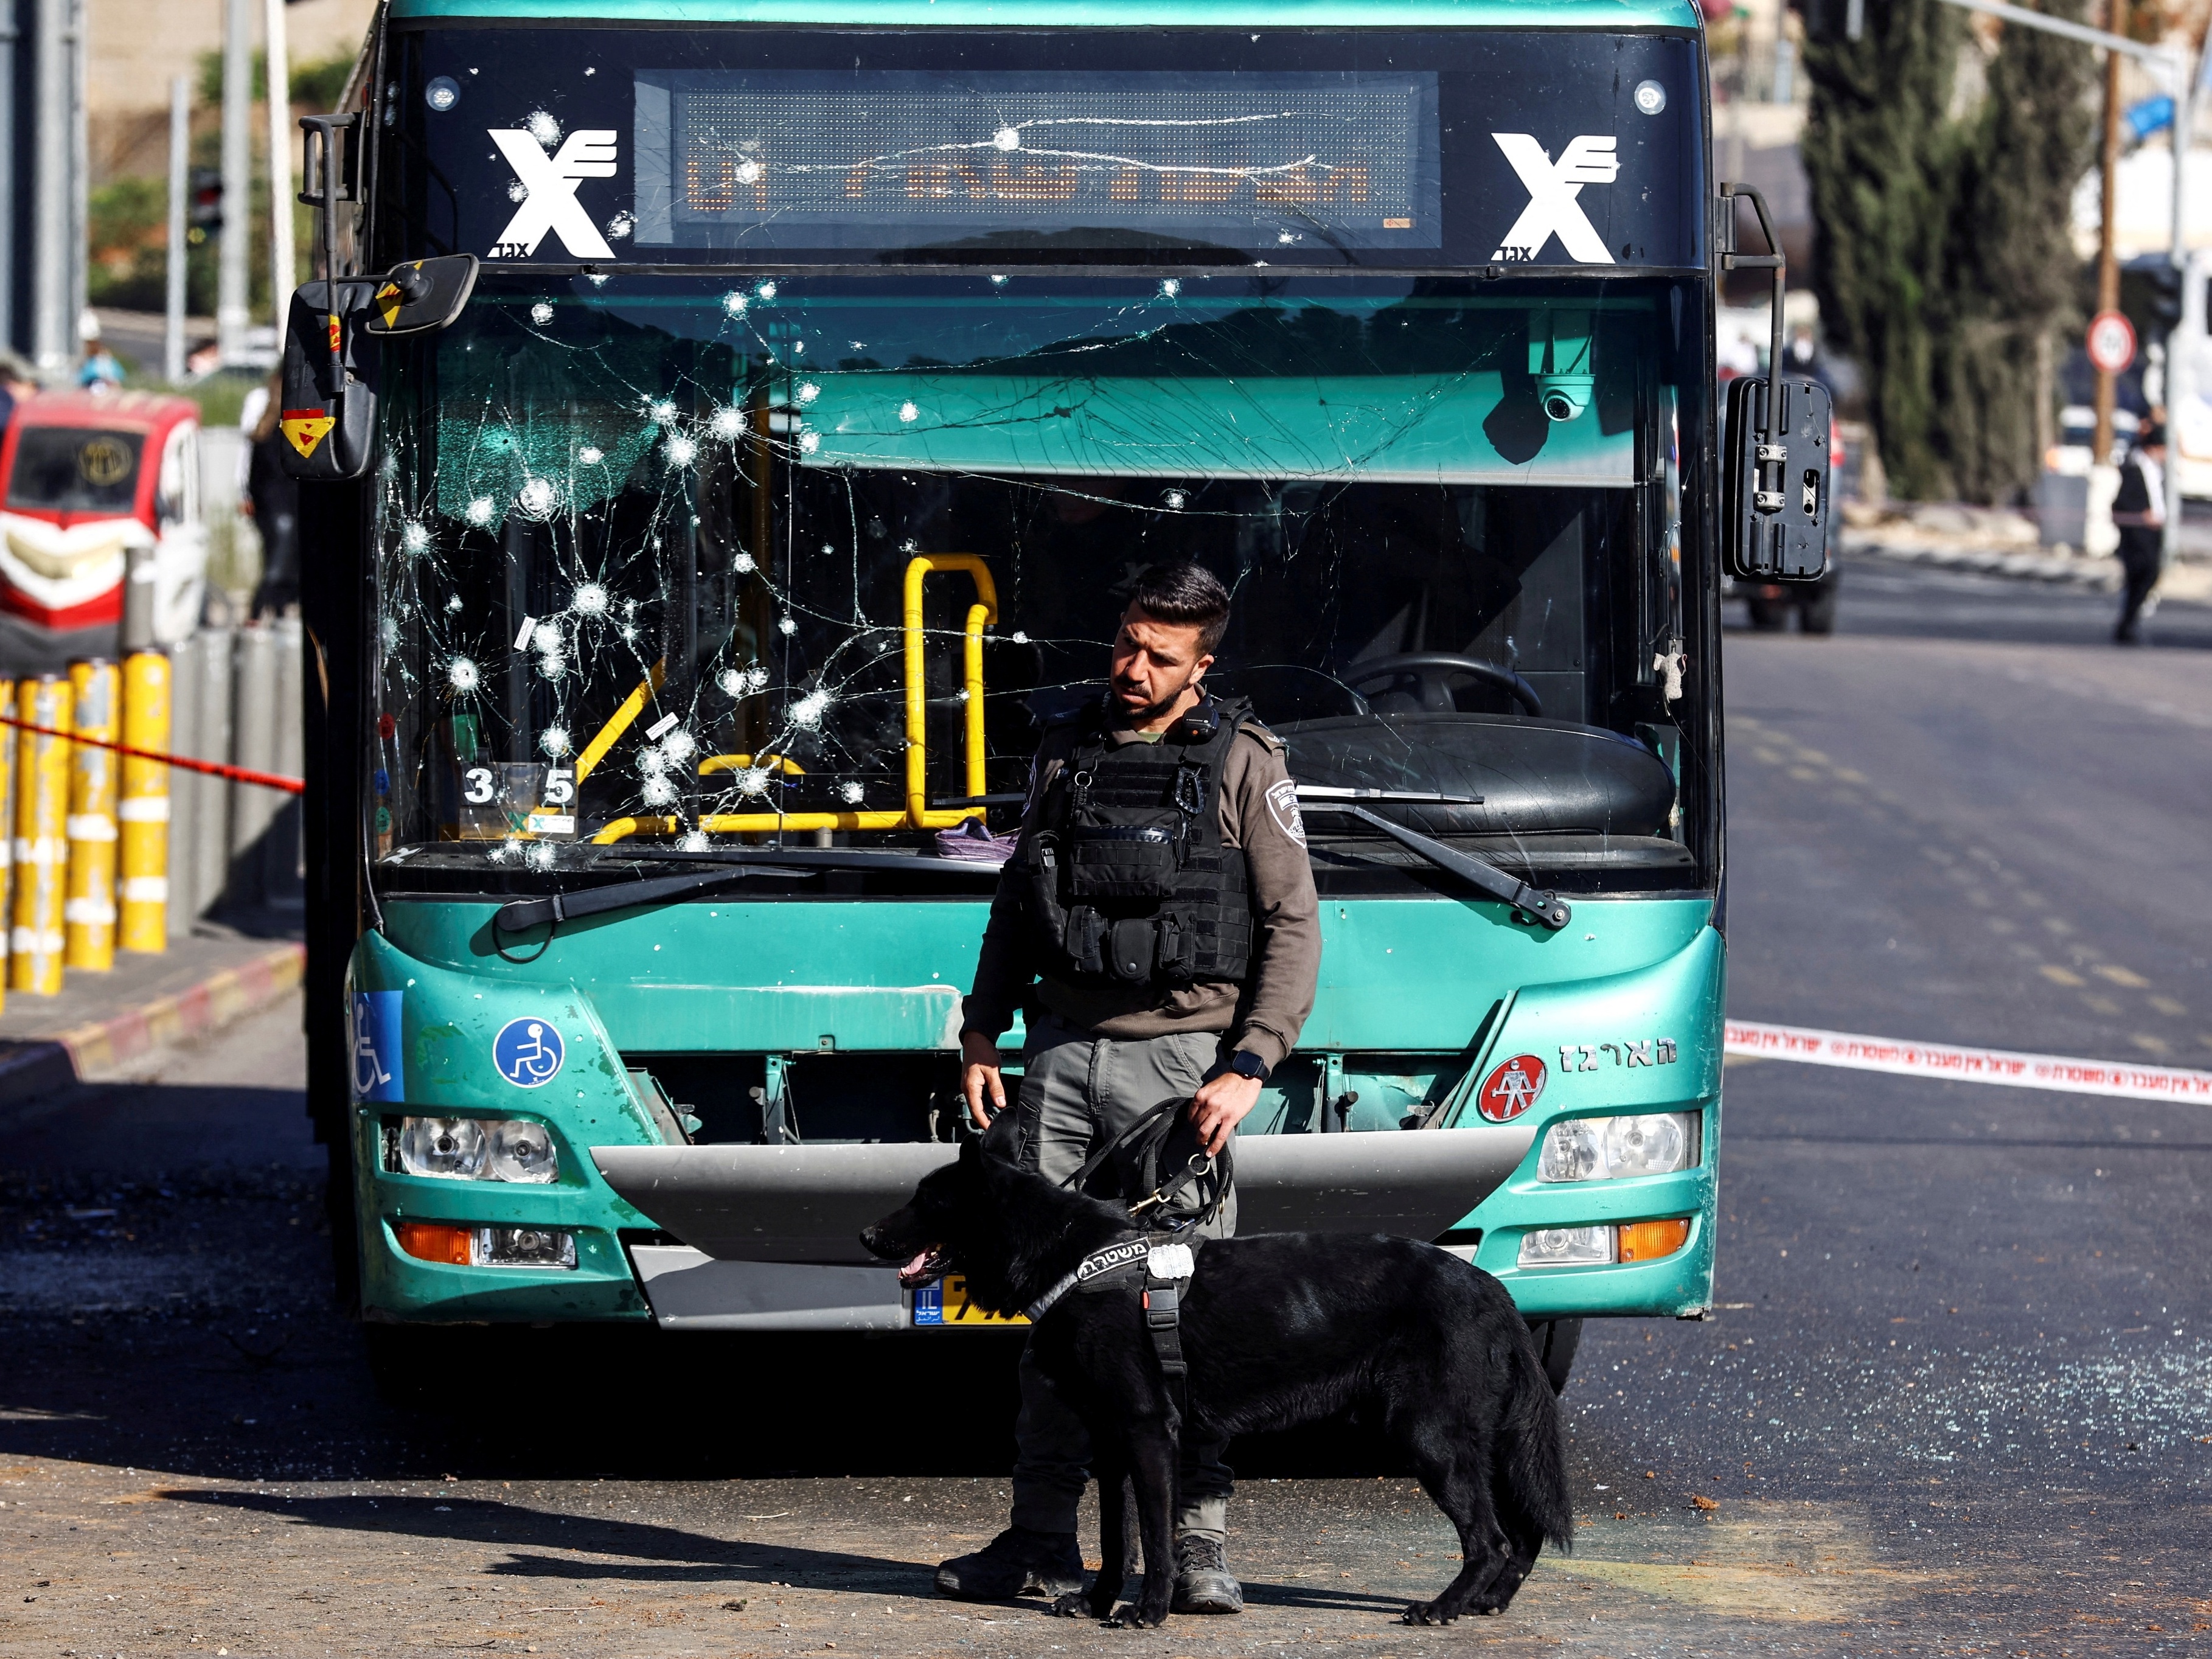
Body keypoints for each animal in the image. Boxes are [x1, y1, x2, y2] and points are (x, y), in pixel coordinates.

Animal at [863, 1150, 1574, 1628]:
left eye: (927, 1200)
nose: (866, 1234)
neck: (1073, 1259)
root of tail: (1492, 1289)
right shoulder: (1114, 1444)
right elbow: (1116, 1540)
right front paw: (1096, 1602)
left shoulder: (1150, 1433)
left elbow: (1154, 1538)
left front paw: (1148, 1612)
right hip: (1477, 1445)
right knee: (1522, 1536)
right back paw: (1487, 1603)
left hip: (1431, 1440)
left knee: (1491, 1539)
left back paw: (1444, 1607)